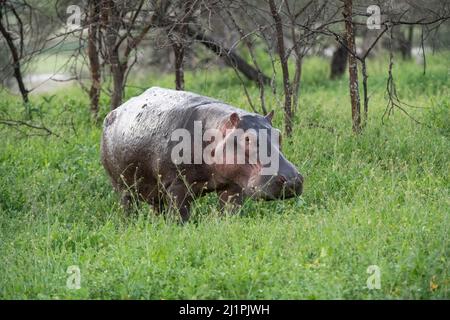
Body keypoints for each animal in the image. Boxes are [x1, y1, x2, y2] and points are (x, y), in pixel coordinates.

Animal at [99, 87, 302, 222]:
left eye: (279, 134)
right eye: (247, 139)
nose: (292, 180)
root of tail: (115, 110)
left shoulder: (233, 186)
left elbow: (229, 211)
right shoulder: (177, 185)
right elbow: (180, 216)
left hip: (154, 189)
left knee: (157, 207)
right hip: (122, 186)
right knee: (128, 205)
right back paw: (131, 224)